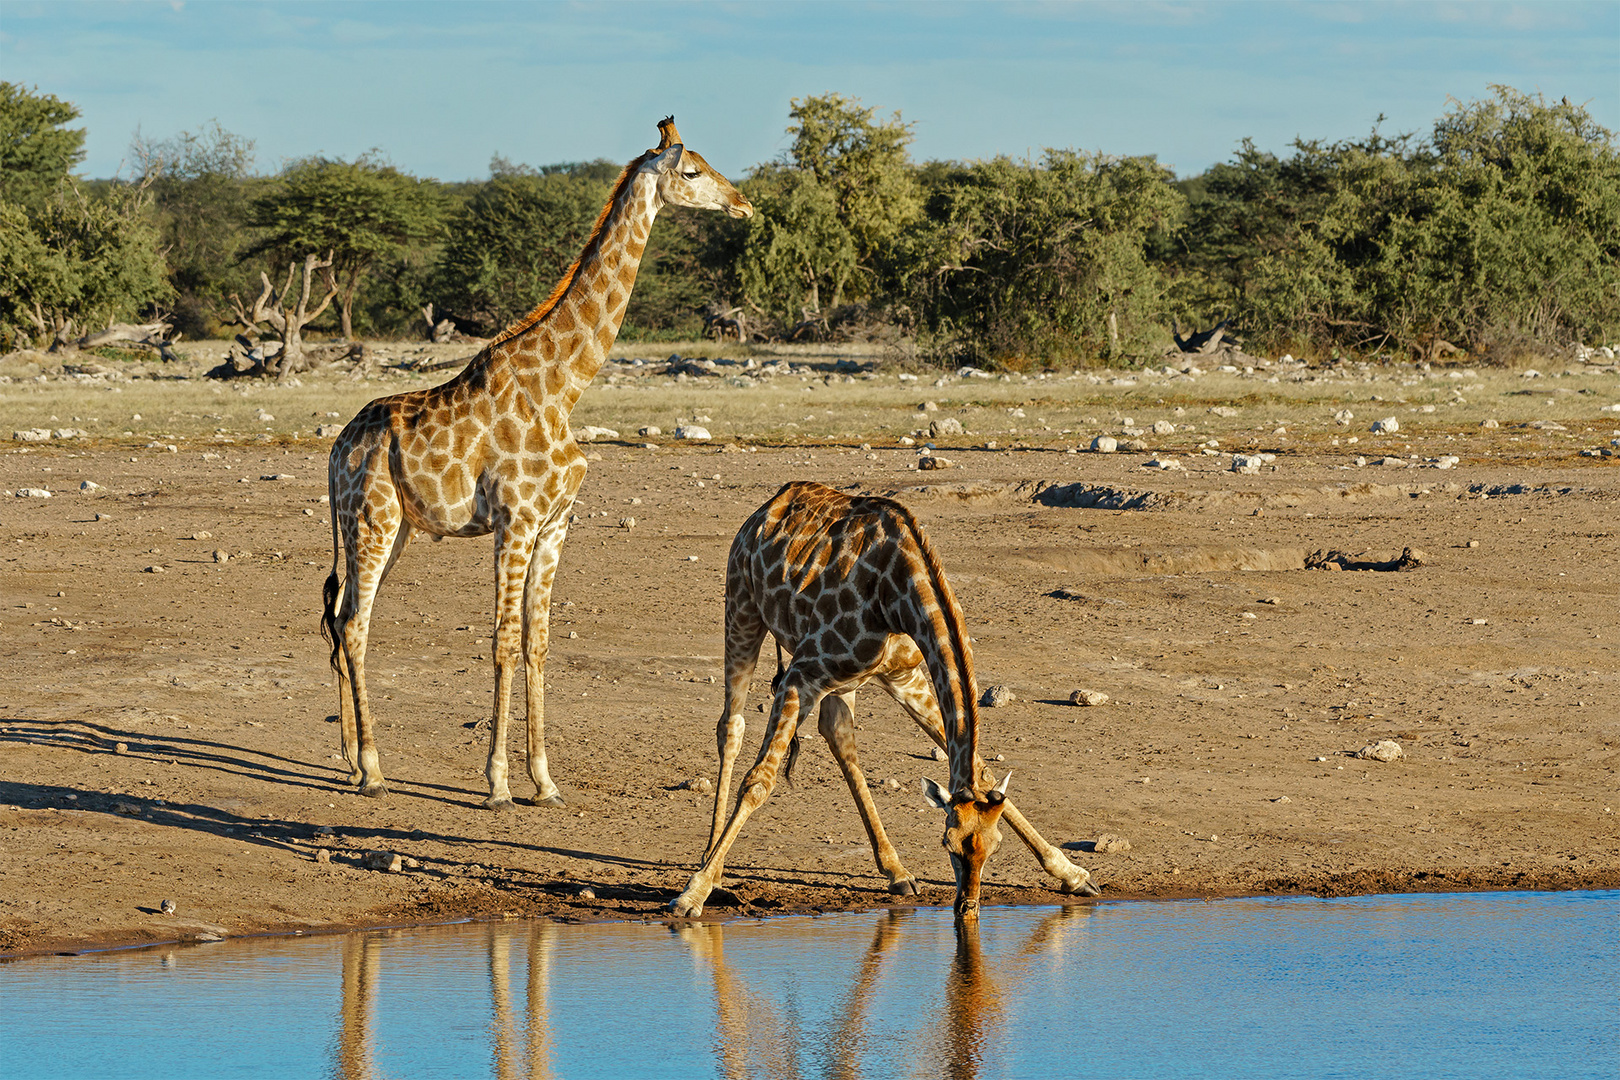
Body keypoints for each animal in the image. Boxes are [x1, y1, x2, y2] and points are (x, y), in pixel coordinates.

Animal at [320, 122, 751, 806]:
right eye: (692, 172)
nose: (744, 204)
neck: (564, 387)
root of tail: (337, 450)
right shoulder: (515, 521)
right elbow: (501, 641)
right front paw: (497, 782)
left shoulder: (556, 524)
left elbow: (538, 642)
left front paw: (545, 780)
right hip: (372, 520)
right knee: (356, 626)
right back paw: (374, 769)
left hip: (396, 529)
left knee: (344, 621)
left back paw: (350, 761)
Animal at [670, 482, 1101, 919]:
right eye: (948, 844)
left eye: (994, 847)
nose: (968, 907)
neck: (897, 595)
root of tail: (770, 504)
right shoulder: (802, 674)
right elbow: (760, 781)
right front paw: (693, 893)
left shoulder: (903, 675)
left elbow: (981, 770)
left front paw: (1073, 874)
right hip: (742, 607)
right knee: (731, 726)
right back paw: (711, 865)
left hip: (843, 681)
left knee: (838, 736)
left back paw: (896, 871)